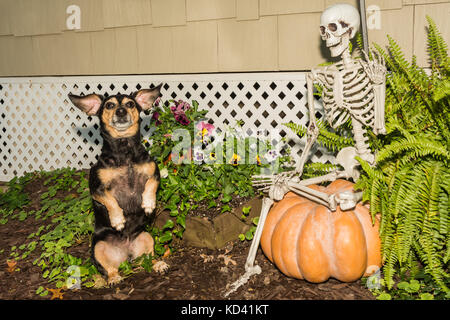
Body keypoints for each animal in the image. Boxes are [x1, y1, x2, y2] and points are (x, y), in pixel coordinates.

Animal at [68, 84, 162, 284]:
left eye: (130, 104)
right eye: (109, 105)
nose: (120, 111)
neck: (124, 149)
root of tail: (126, 256)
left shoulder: (155, 173)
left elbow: (150, 185)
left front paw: (148, 204)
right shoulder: (96, 189)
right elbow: (111, 201)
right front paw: (118, 220)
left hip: (146, 237)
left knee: (148, 259)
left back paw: (158, 264)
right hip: (98, 247)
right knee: (109, 269)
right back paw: (114, 278)